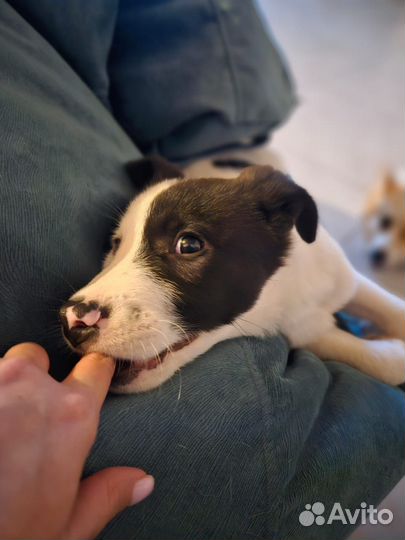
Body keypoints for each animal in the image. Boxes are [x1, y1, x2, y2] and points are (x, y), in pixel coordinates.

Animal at [58, 156, 402, 392]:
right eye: (116, 244)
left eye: (189, 244)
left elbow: (391, 307)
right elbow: (381, 360)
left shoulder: (344, 278)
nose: (73, 320)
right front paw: (390, 348)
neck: (283, 292)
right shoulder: (307, 332)